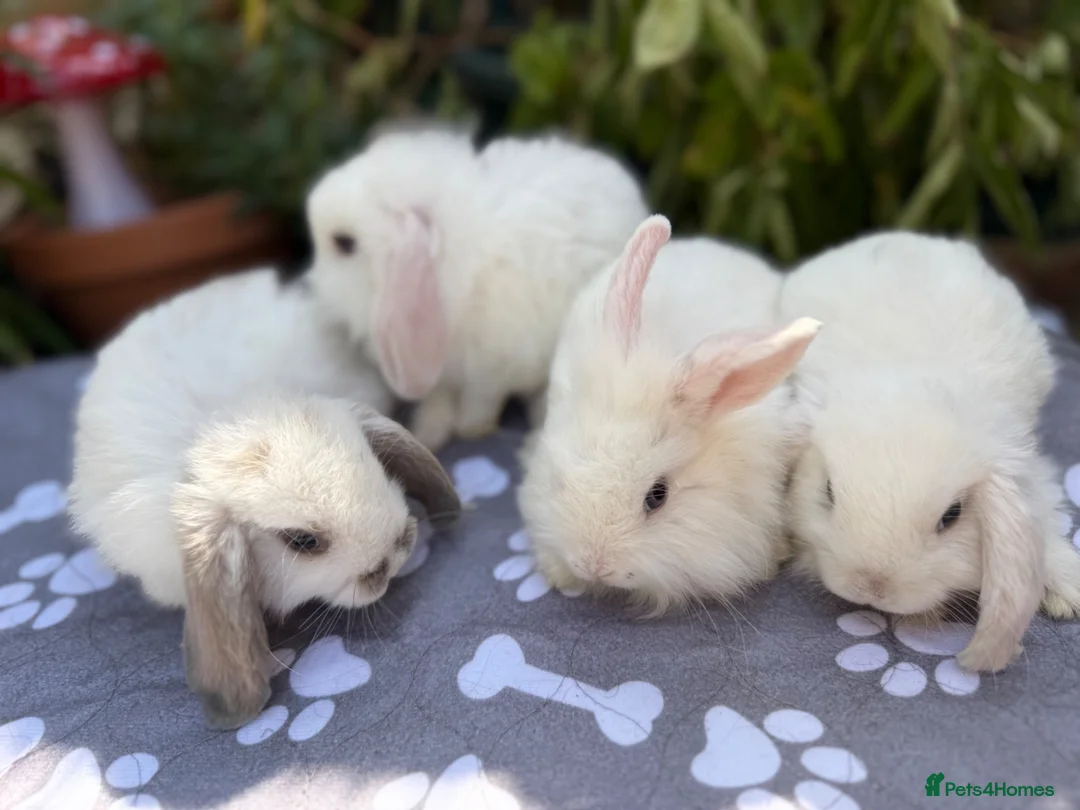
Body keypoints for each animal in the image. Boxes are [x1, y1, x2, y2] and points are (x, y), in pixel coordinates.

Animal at [304, 126, 650, 451]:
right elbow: (438, 399)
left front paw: (470, 428)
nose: (313, 286)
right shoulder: (443, 371)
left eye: (344, 243)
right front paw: (428, 435)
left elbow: (482, 399)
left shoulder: (495, 365)